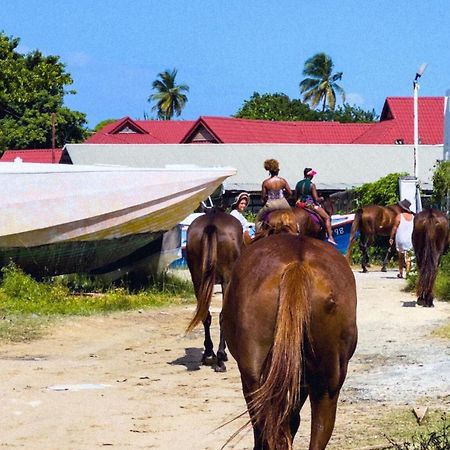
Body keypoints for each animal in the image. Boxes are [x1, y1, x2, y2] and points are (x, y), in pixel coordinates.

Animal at [185, 207, 244, 372]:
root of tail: (211, 224)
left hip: (198, 280)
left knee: (205, 314)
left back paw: (208, 353)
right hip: (226, 280)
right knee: (223, 315)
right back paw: (220, 357)